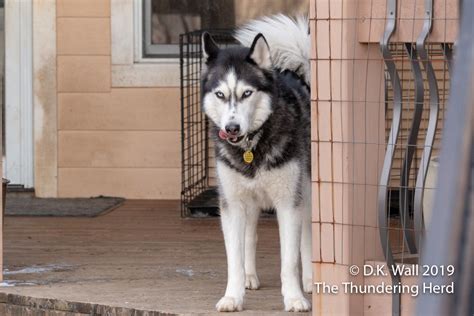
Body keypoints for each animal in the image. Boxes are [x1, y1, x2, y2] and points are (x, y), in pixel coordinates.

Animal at [202, 14, 312, 312]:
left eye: (247, 93)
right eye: (220, 94)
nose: (231, 128)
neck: (252, 146)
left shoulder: (289, 203)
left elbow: (289, 260)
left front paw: (294, 297)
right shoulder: (232, 204)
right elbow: (235, 258)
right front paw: (233, 295)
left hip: (307, 192)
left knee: (307, 237)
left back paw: (310, 278)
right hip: (248, 202)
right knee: (250, 236)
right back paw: (250, 276)